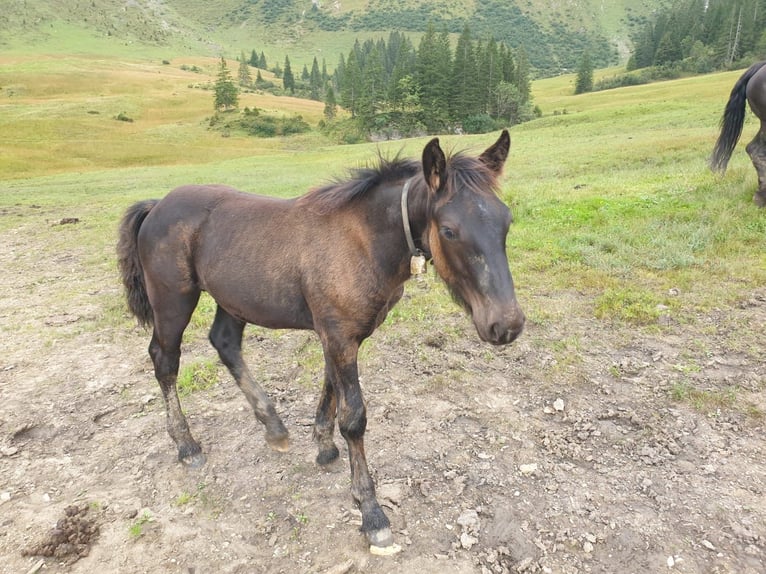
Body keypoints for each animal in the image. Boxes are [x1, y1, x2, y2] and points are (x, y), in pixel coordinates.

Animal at [118, 132, 528, 552]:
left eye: (507, 221)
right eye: (448, 230)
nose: (506, 324)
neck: (362, 241)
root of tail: (157, 205)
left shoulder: (340, 335)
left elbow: (330, 388)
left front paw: (324, 447)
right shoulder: (339, 335)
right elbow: (354, 418)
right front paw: (371, 510)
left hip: (233, 299)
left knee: (225, 342)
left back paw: (274, 427)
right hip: (173, 301)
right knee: (165, 359)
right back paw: (187, 445)